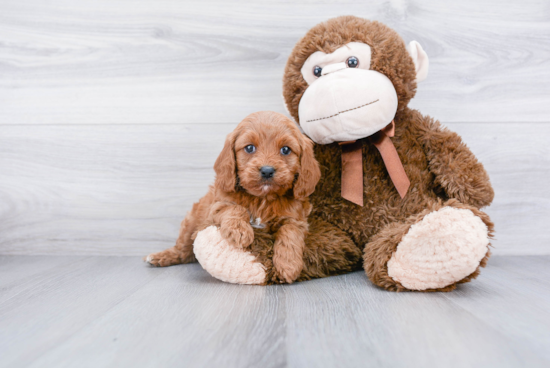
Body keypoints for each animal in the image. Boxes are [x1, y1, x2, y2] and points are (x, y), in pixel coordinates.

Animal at [147, 110, 322, 284]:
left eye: (286, 150)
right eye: (249, 148)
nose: (267, 170)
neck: (262, 198)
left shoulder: (297, 218)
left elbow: (290, 231)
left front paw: (288, 265)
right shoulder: (217, 206)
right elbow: (235, 208)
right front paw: (239, 230)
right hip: (192, 221)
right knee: (184, 250)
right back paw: (161, 257)